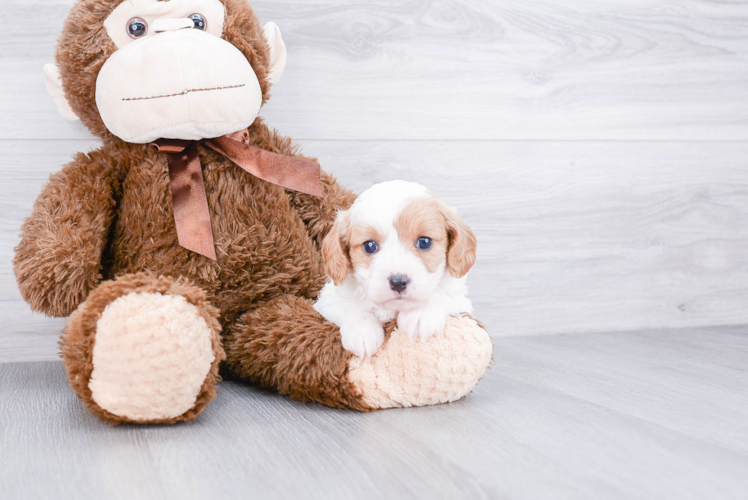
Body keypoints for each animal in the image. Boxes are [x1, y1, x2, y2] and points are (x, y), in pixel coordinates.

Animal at [312, 182, 476, 358]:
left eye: (424, 242)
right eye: (369, 246)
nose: (398, 282)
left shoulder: (461, 304)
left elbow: (442, 292)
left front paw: (420, 314)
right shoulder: (327, 298)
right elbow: (348, 305)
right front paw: (363, 331)